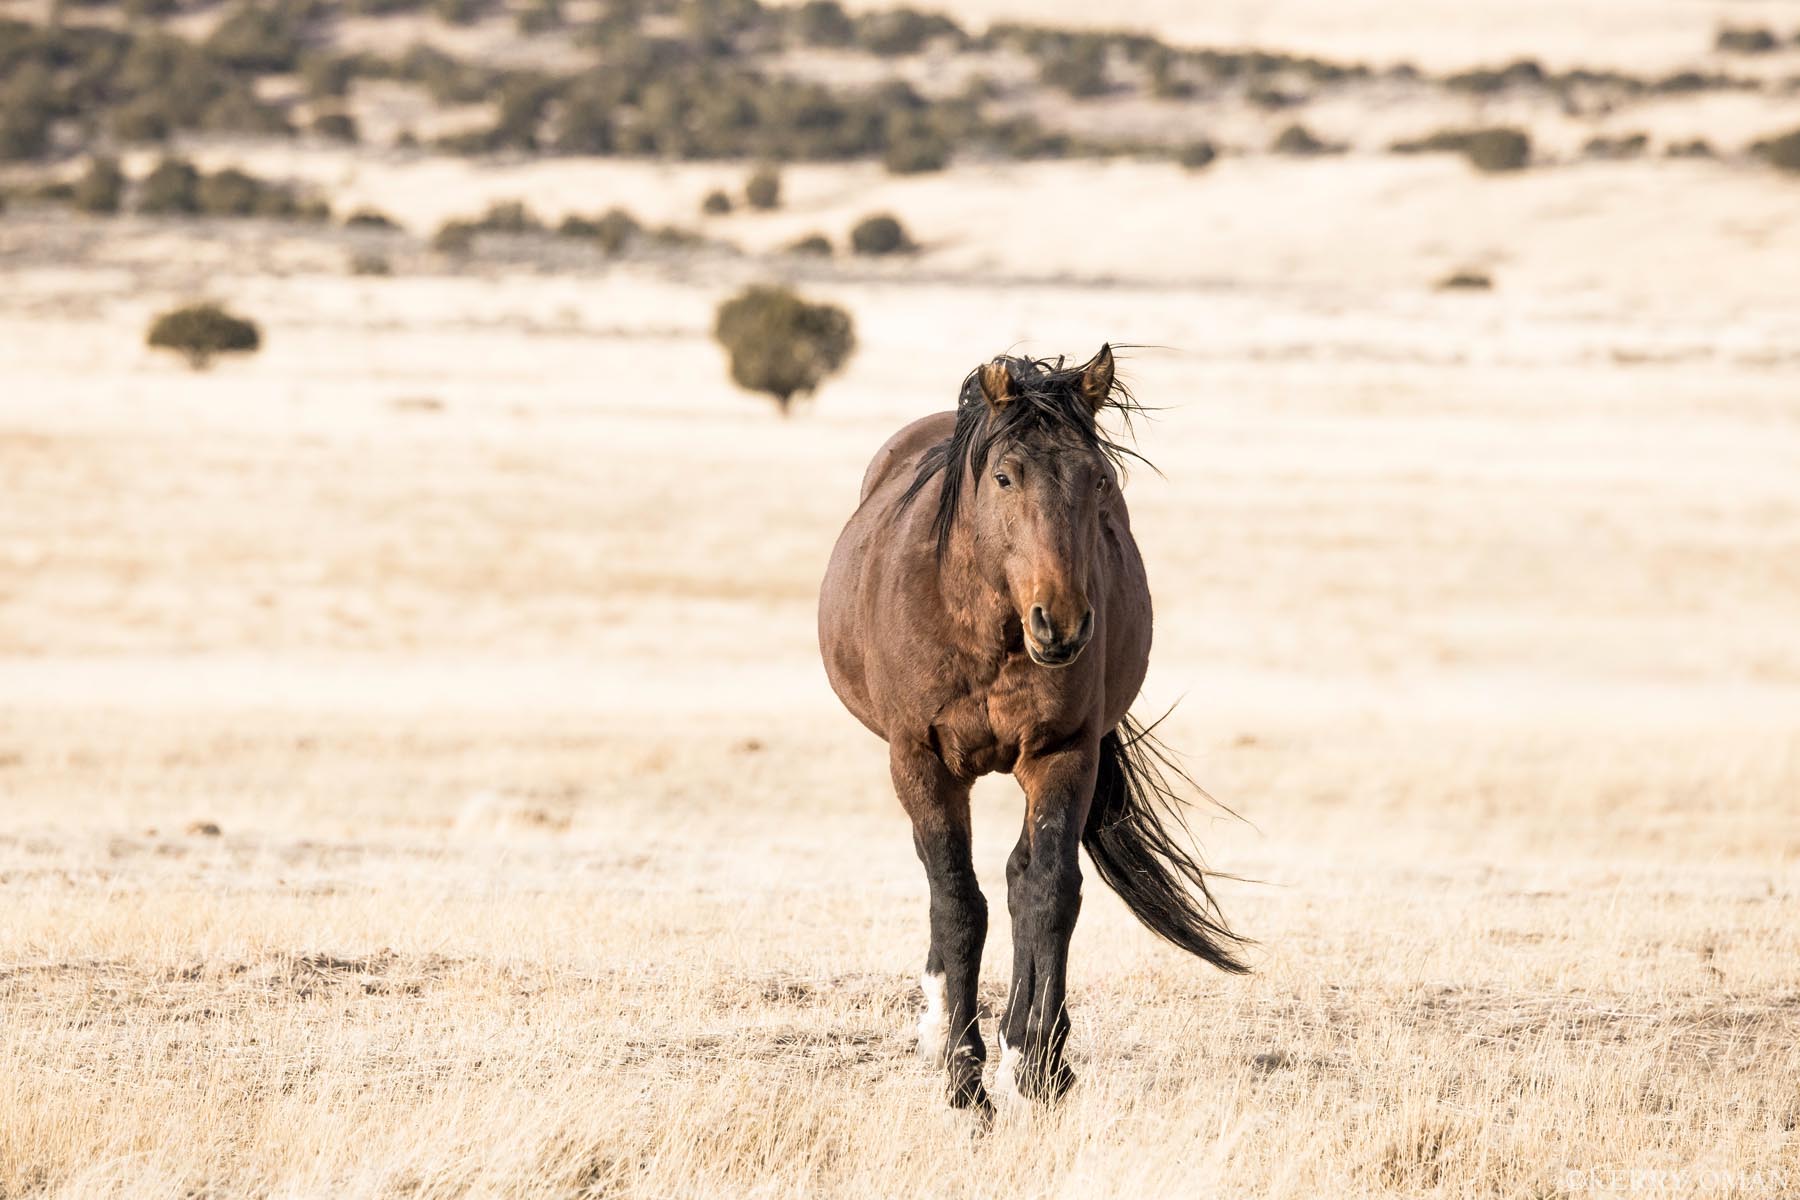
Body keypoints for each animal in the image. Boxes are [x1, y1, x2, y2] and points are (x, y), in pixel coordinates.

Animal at [817, 345, 1248, 1115]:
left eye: (1098, 478)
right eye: (1004, 476)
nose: (1064, 623)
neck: (986, 631)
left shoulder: (1061, 754)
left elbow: (1047, 893)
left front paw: (1033, 1065)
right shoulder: (921, 762)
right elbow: (957, 901)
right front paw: (964, 1079)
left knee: (1026, 880)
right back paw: (940, 1033)